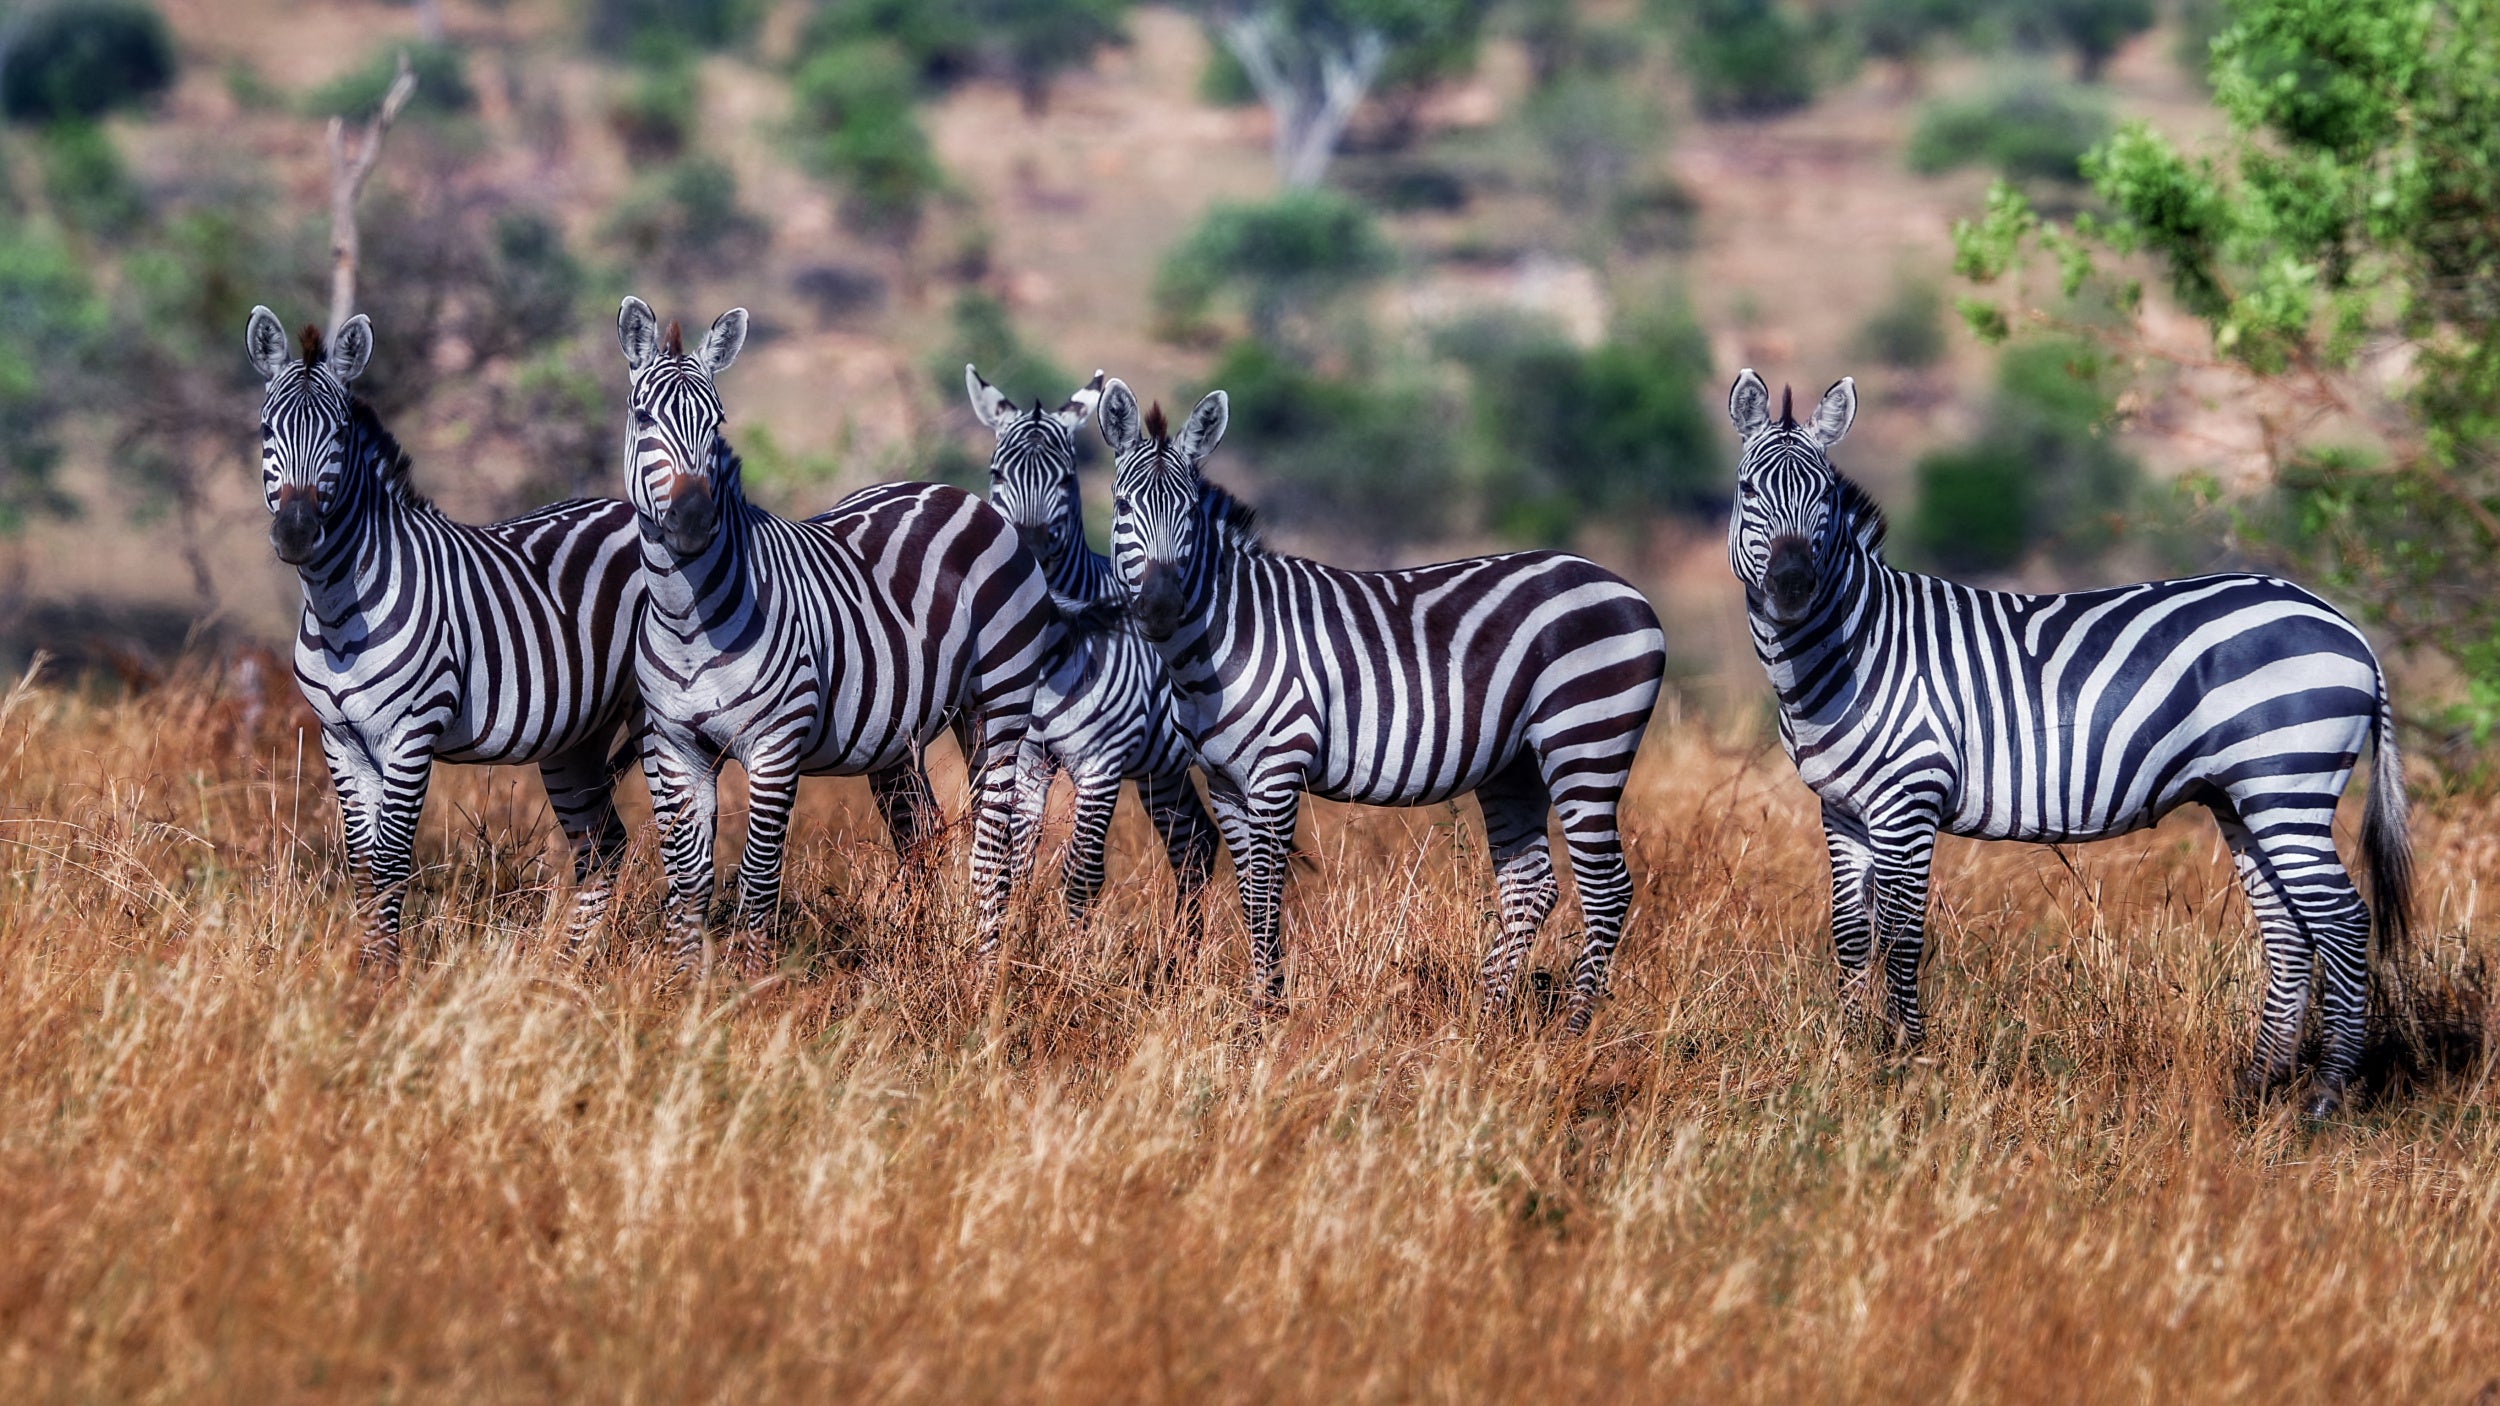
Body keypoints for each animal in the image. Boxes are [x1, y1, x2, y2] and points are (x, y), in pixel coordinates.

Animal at [245, 306, 645, 972]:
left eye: (338, 437)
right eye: (266, 432)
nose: (296, 534)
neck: (336, 608)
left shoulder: (411, 734)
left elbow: (389, 862)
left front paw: (384, 977)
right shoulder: (340, 740)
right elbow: (361, 864)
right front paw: (364, 971)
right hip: (578, 737)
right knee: (601, 847)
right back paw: (562, 973)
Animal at [618, 298, 1059, 974]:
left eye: (717, 424)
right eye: (643, 417)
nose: (693, 521)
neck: (687, 619)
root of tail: (957, 494)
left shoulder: (775, 746)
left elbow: (758, 875)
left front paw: (749, 985)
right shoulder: (675, 747)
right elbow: (688, 880)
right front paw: (680, 982)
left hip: (1001, 700)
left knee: (995, 836)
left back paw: (985, 968)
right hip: (905, 732)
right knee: (922, 831)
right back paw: (917, 956)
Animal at [965, 364, 1220, 933]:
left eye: (1066, 479)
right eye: (996, 474)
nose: (1028, 554)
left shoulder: (1101, 763)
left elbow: (1082, 874)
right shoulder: (1032, 756)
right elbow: (1018, 861)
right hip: (1161, 768)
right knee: (1194, 841)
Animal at [1101, 379, 1667, 1031]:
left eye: (1189, 515)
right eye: (1121, 507)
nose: (1159, 609)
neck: (1221, 640)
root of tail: (1626, 588)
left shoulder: (1277, 770)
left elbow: (1267, 891)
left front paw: (1266, 1016)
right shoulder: (1224, 780)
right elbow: (1247, 892)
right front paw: (1260, 1006)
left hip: (1585, 744)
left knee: (1608, 888)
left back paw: (1572, 1033)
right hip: (1517, 763)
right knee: (1531, 884)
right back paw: (1485, 1023)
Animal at [1726, 369, 2413, 1117]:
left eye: (1823, 496)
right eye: (1747, 490)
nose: (1793, 588)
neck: (1858, 648)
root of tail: (2343, 625)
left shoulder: (1908, 799)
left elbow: (1903, 936)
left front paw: (1905, 1062)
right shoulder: (1843, 809)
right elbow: (1851, 935)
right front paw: (1850, 1059)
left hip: (2287, 784)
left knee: (2343, 921)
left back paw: (2326, 1096)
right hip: (2244, 799)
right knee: (2290, 927)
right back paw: (2256, 1086)